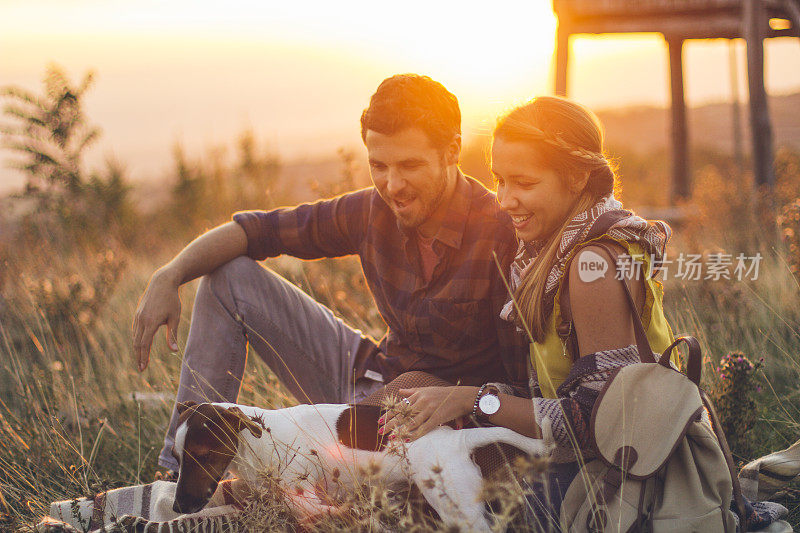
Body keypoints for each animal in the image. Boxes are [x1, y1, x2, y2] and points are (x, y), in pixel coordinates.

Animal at [172, 402, 552, 528]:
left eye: (202, 456)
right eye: (177, 458)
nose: (177, 508)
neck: (257, 442)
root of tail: (456, 440)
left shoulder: (306, 496)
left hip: (459, 509)